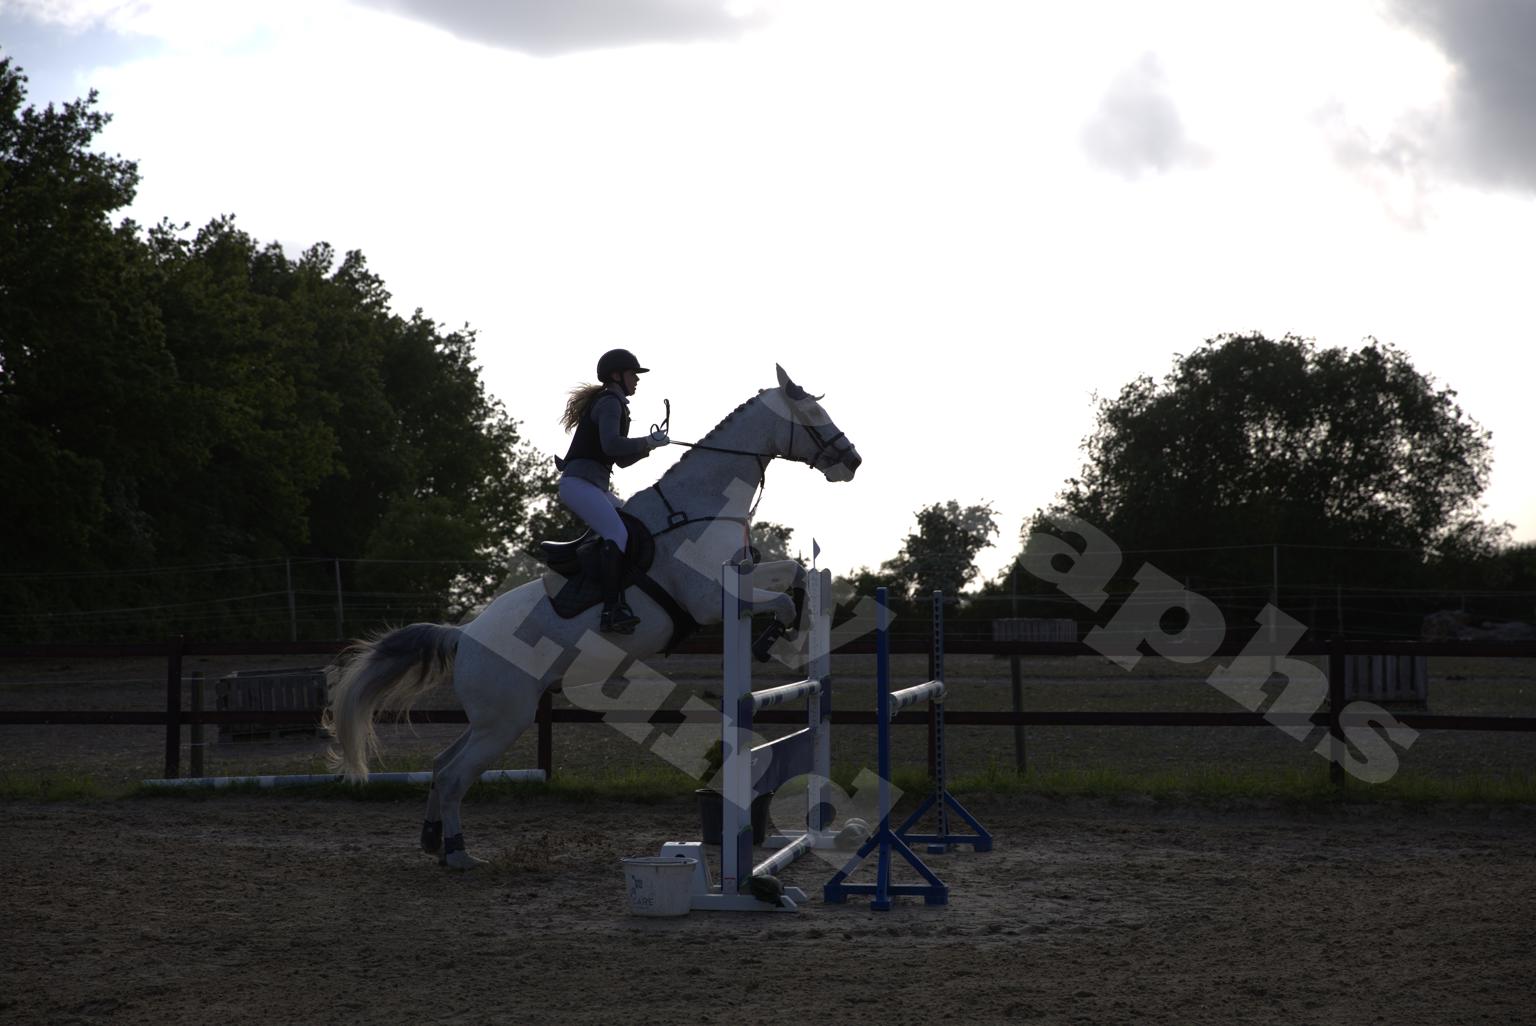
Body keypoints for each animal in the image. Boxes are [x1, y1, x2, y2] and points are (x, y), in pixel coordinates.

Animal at [324, 365, 861, 868]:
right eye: (814, 414)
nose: (853, 461)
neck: (701, 508)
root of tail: (464, 636)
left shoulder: (743, 579)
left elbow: (795, 571)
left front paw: (792, 627)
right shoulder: (713, 599)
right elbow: (783, 602)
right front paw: (774, 637)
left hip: (492, 719)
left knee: (441, 765)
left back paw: (433, 839)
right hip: (505, 718)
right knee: (455, 775)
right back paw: (457, 853)